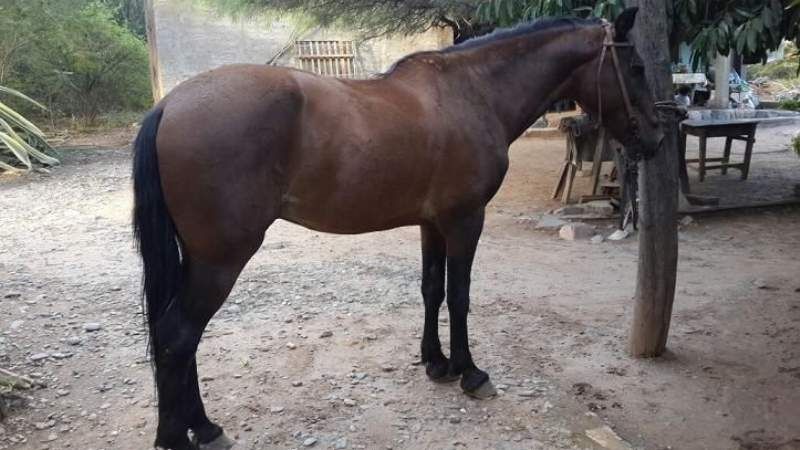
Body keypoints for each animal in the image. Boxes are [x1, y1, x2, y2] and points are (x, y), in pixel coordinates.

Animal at [133, 8, 663, 449]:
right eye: (636, 68)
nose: (656, 138)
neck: (472, 94)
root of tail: (170, 105)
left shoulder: (433, 224)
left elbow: (432, 290)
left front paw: (436, 363)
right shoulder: (466, 221)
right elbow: (460, 295)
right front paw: (470, 373)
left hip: (198, 257)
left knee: (178, 337)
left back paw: (202, 428)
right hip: (221, 260)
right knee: (178, 335)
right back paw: (182, 436)